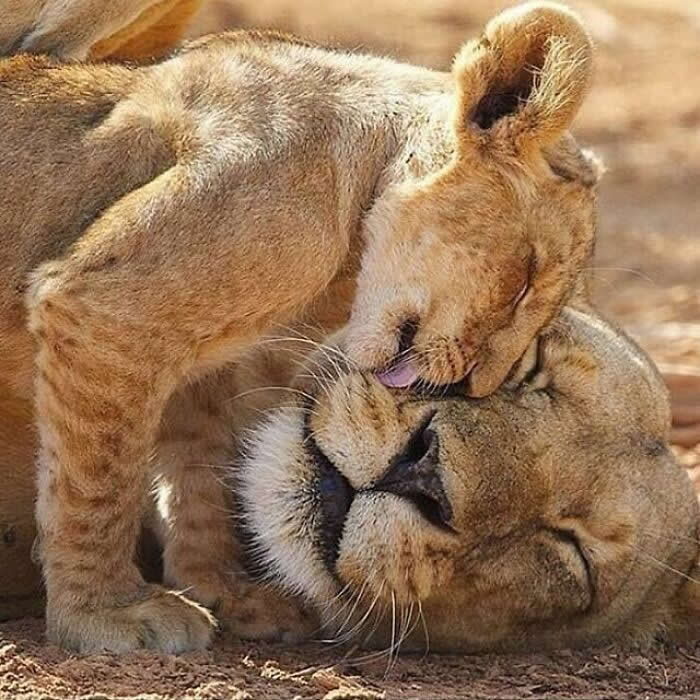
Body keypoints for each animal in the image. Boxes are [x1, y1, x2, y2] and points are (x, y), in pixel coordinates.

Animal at [1, 0, 608, 653]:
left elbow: (202, 472)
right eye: (525, 279)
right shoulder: (108, 306)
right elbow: (97, 479)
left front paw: (227, 591)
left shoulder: (201, 358)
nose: (470, 386)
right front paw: (107, 613)